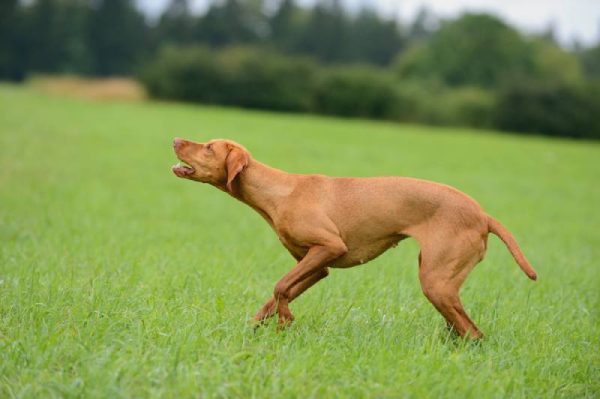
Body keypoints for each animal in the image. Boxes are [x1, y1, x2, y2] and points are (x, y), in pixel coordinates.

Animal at [171, 139, 536, 340]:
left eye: (208, 147)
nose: (175, 139)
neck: (279, 192)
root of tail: (483, 214)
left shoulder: (329, 246)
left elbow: (279, 287)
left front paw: (285, 321)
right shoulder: (316, 266)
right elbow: (276, 296)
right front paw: (254, 329)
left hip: (436, 281)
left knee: (474, 333)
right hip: (441, 284)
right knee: (463, 330)